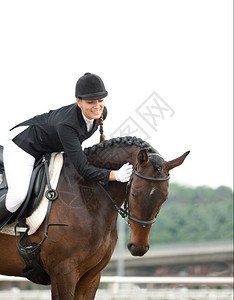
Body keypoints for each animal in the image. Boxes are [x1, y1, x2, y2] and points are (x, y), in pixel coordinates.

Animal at [0, 137, 189, 298]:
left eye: (164, 198)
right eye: (134, 194)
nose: (138, 248)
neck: (84, 194)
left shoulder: (91, 277)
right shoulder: (63, 272)